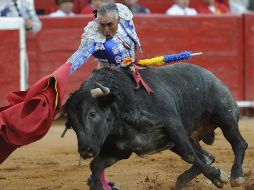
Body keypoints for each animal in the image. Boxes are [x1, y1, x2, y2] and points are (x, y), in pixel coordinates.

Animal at [64, 63, 247, 190]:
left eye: (93, 114)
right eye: (71, 123)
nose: (85, 151)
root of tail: (214, 78)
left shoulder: (174, 126)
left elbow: (189, 155)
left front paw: (218, 177)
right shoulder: (120, 149)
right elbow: (95, 165)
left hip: (225, 117)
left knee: (238, 144)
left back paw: (236, 176)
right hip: (184, 139)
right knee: (207, 156)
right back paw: (181, 181)